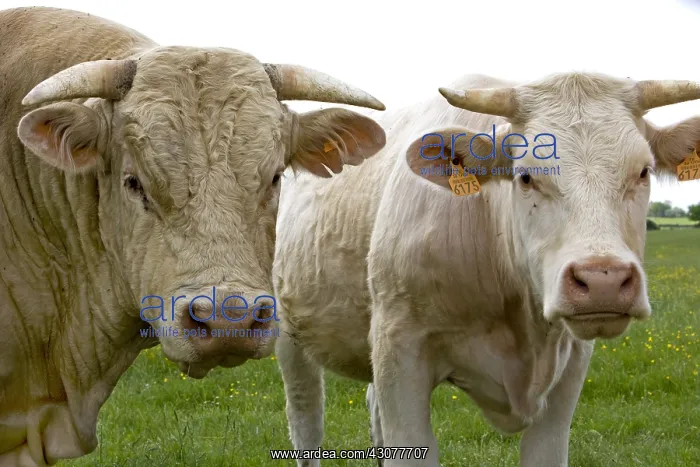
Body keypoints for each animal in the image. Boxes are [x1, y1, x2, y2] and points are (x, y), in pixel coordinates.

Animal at [273, 71, 700, 466]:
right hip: (291, 336)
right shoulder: (400, 352)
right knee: (305, 420)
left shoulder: (571, 364)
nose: (603, 280)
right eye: (525, 177)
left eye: (643, 171)